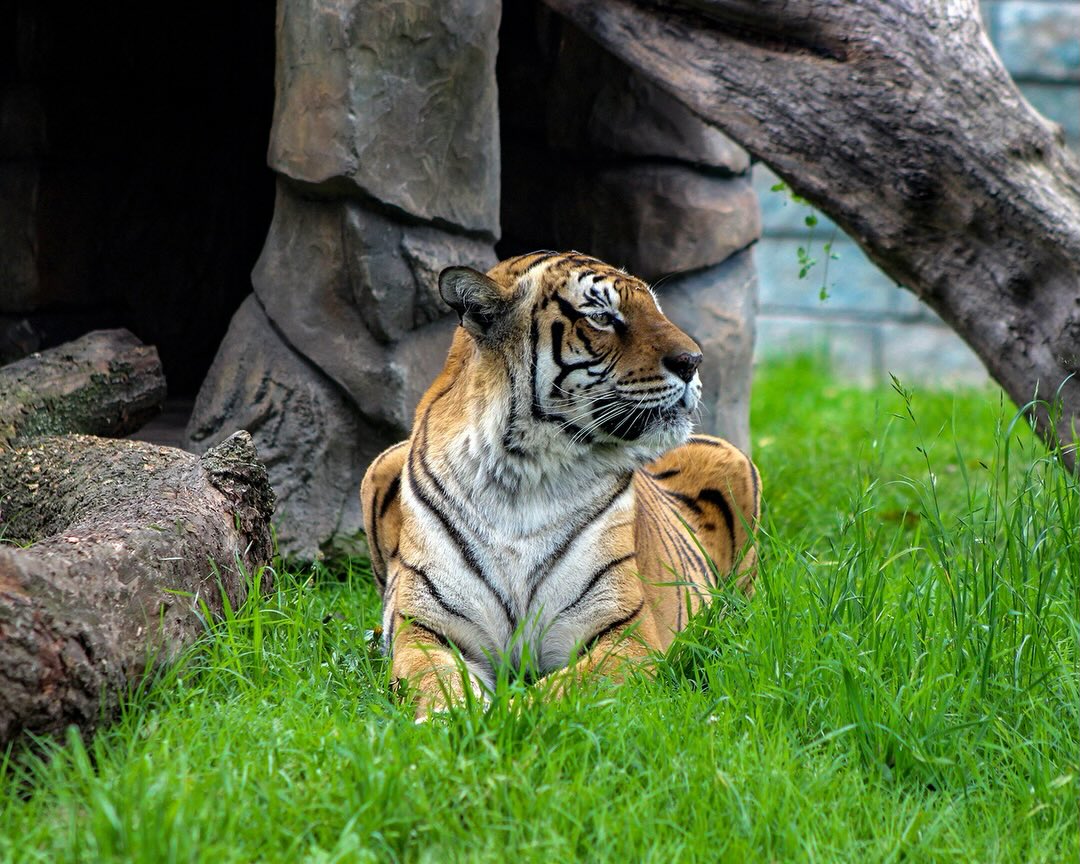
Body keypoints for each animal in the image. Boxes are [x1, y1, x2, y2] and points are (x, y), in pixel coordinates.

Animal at [361, 251, 760, 719]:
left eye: (655, 309)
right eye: (602, 317)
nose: (693, 360)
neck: (522, 474)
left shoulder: (625, 636)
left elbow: (556, 694)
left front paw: (504, 720)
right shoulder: (426, 631)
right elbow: (435, 681)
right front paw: (452, 720)